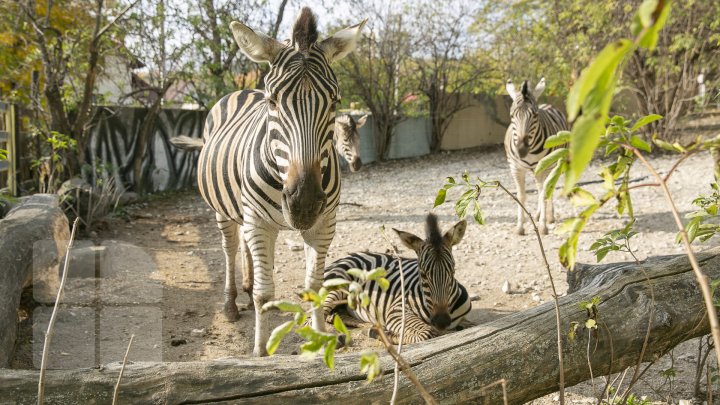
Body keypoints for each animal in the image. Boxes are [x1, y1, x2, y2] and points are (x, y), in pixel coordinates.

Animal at [190, 7, 362, 356]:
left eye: (335, 102)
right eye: (273, 102)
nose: (304, 204)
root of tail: (242, 90)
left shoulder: (324, 223)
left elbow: (314, 286)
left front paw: (321, 339)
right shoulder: (258, 221)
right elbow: (264, 293)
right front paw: (260, 352)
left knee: (244, 245)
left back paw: (246, 284)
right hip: (222, 209)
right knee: (230, 247)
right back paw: (231, 302)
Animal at [322, 213, 472, 342]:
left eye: (453, 272)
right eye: (422, 274)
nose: (442, 322)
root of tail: (351, 255)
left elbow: (466, 326)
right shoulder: (397, 310)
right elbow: (426, 333)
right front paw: (385, 334)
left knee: (337, 316)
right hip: (336, 286)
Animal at [504, 77, 572, 235]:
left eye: (535, 115)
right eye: (511, 115)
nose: (521, 150)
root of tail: (546, 104)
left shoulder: (546, 167)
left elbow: (543, 193)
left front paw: (543, 226)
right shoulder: (515, 168)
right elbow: (521, 195)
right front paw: (520, 227)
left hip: (554, 164)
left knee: (547, 188)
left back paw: (549, 217)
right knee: (540, 188)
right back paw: (538, 214)